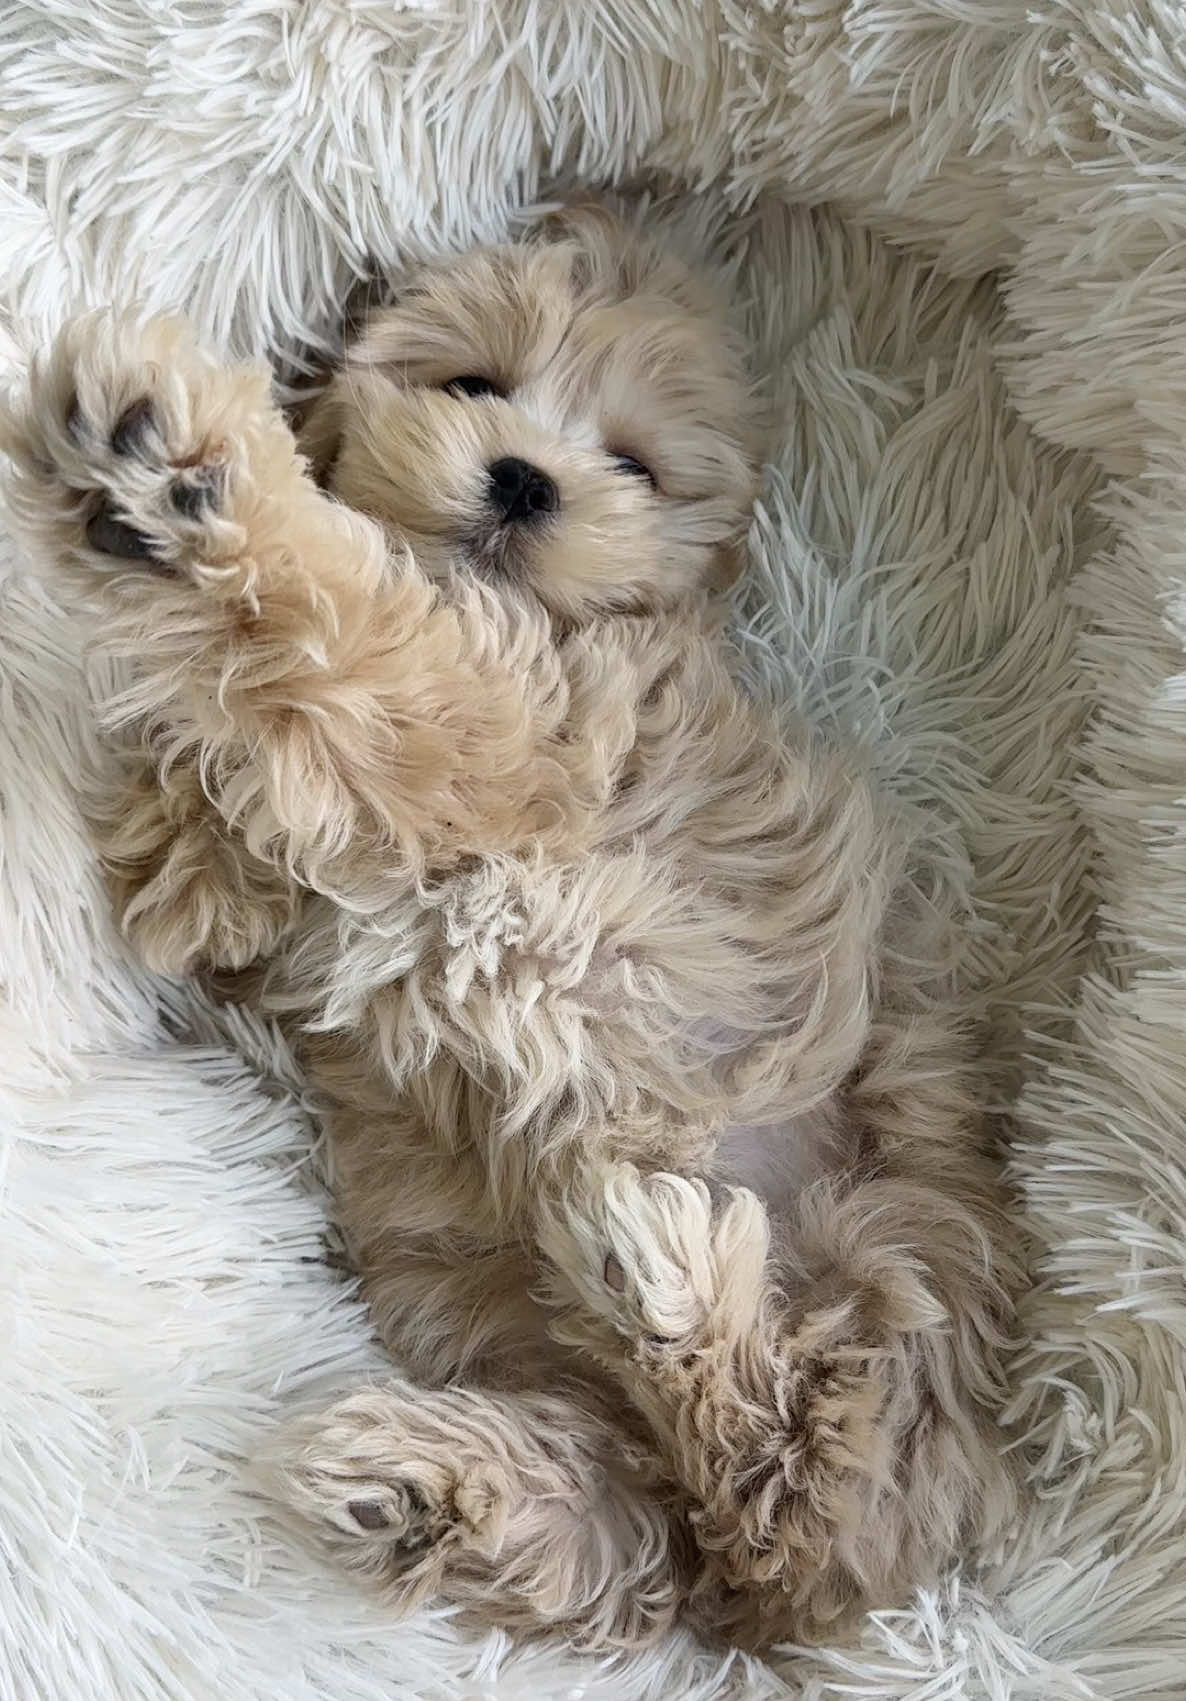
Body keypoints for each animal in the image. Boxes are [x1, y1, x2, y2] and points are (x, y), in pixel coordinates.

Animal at [0, 209, 1020, 1646]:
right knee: (643, 1517)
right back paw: (433, 1483)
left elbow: (350, 624)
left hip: (891, 1255)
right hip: (524, 1335)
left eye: (632, 464)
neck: (565, 615)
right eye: (473, 383)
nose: (528, 482)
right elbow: (252, 795)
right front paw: (198, 851)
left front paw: (187, 484)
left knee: (789, 1486)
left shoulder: (506, 719)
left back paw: (666, 1282)